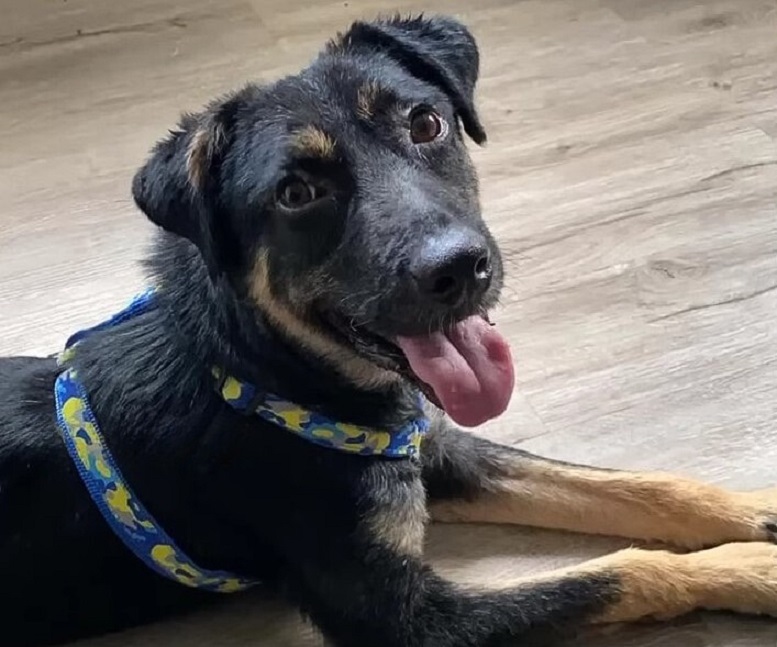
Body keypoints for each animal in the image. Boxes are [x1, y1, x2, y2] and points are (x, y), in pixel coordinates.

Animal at [1, 13, 776, 647]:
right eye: (296, 192)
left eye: (426, 123)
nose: (461, 269)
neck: (259, 376)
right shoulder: (403, 618)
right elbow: (617, 573)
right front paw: (754, 568)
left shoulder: (432, 445)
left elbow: (644, 488)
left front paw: (756, 510)